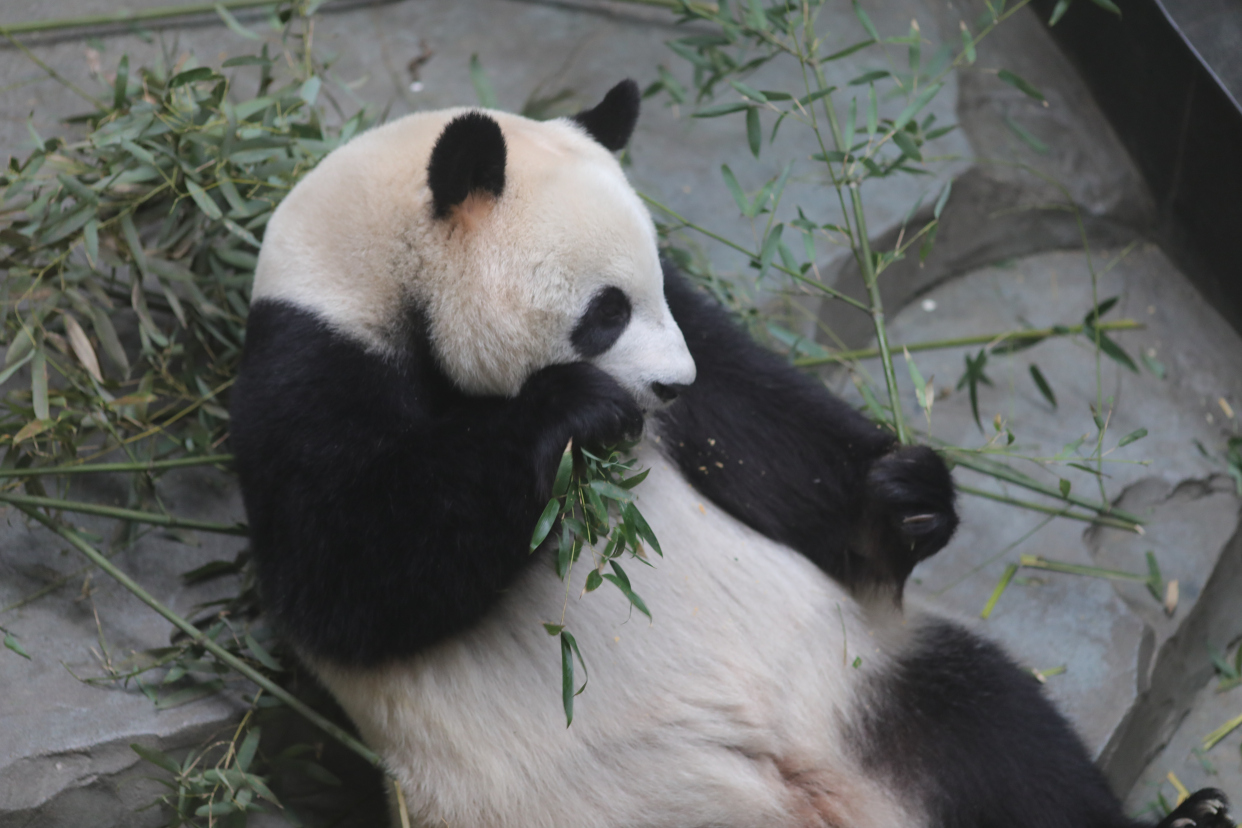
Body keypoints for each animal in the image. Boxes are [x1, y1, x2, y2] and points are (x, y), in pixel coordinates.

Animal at [231, 79, 1232, 828]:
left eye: (651, 288)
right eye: (604, 312)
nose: (670, 385)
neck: (379, 273)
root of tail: (821, 802)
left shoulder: (703, 346)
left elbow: (754, 425)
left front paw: (904, 499)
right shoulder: (309, 363)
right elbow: (348, 570)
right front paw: (574, 411)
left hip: (864, 681)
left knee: (1002, 737)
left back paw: (1189, 817)